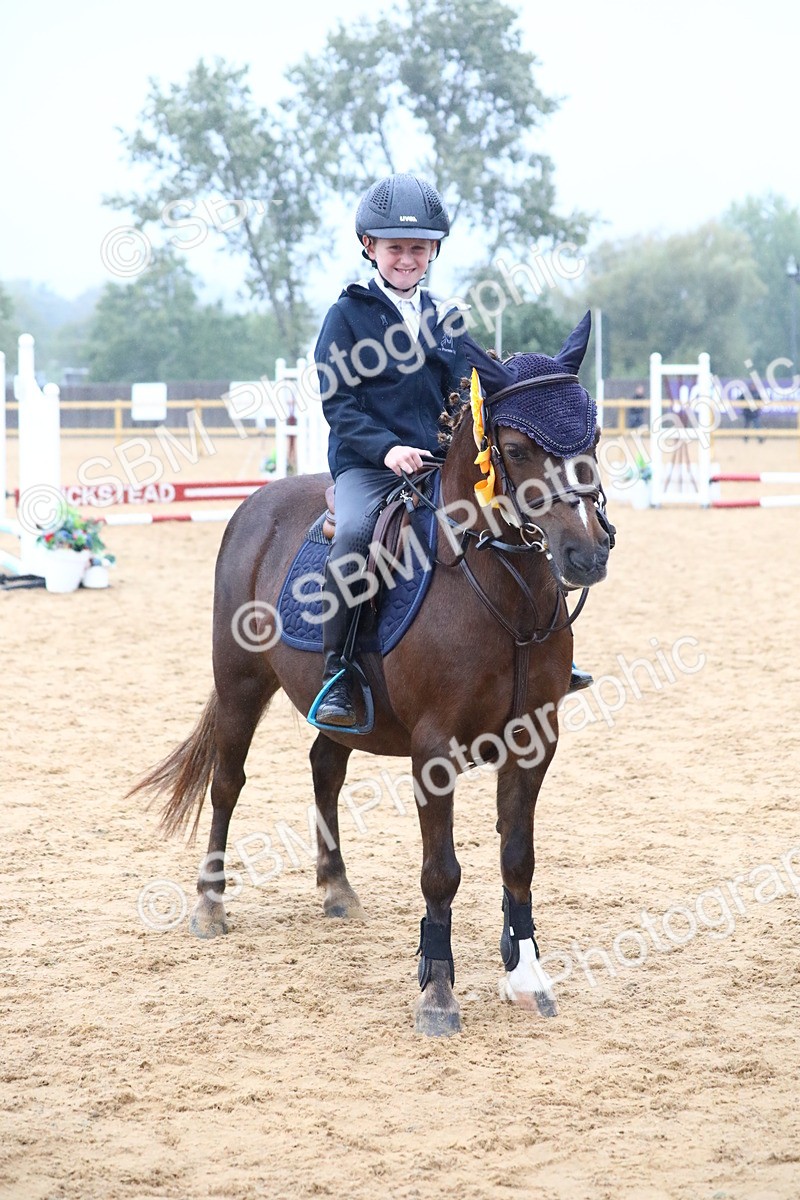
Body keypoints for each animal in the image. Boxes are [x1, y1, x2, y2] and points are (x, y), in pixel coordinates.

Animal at [130, 313, 613, 1036]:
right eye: (517, 447)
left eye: (595, 434)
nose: (587, 553)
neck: (502, 588)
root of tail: (259, 505)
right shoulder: (433, 748)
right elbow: (440, 871)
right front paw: (437, 992)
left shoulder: (533, 738)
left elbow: (517, 858)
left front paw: (525, 975)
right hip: (240, 684)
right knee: (227, 783)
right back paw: (210, 907)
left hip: (342, 710)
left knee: (324, 766)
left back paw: (336, 887)